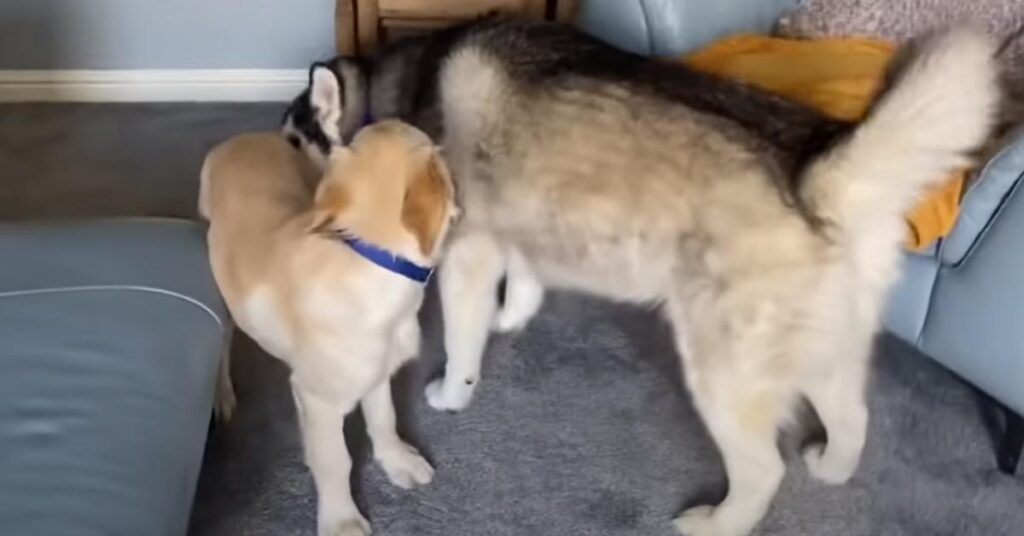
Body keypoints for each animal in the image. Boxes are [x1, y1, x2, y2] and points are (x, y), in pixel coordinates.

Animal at [284, 16, 995, 536]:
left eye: (292, 145)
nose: (293, 217)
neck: (386, 106)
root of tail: (814, 176)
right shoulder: (517, 222)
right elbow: (526, 277)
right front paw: (511, 315)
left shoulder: (468, 251)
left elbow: (462, 338)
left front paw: (455, 391)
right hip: (827, 347)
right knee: (854, 416)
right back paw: (832, 467)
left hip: (725, 369)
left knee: (763, 469)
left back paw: (714, 524)